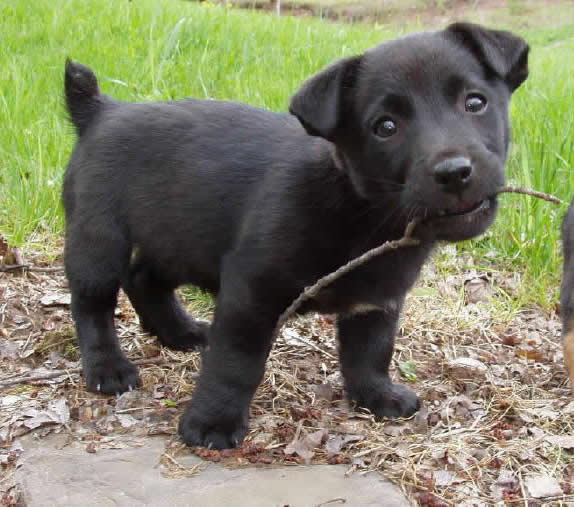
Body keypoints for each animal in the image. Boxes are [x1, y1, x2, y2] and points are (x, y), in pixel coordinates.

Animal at [64, 22, 532, 448]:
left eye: (475, 102)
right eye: (385, 127)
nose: (454, 172)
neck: (360, 209)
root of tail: (102, 110)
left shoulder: (377, 300)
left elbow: (370, 352)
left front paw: (375, 395)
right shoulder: (250, 292)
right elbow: (235, 362)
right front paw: (213, 422)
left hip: (178, 239)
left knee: (143, 277)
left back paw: (178, 332)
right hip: (99, 240)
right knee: (93, 305)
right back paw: (108, 368)